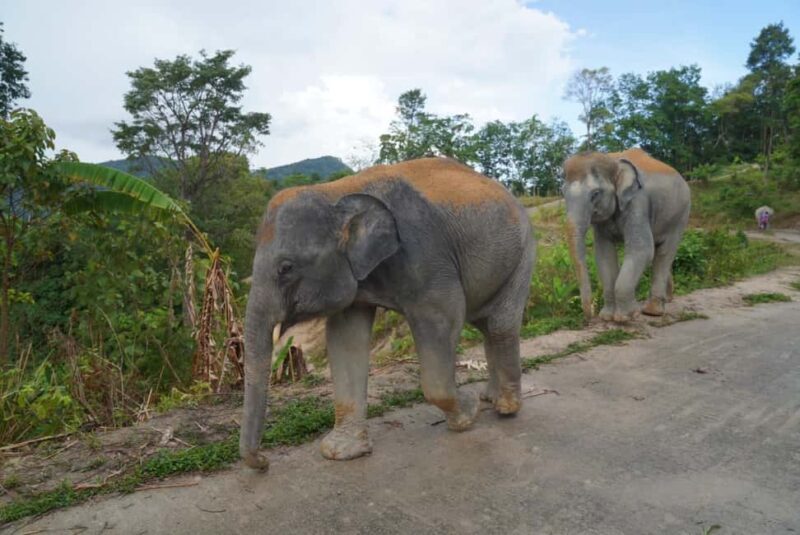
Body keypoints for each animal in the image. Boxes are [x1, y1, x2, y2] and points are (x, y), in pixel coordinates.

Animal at [240, 157, 536, 469]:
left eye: (286, 268)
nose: (264, 462)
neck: (336, 191)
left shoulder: (425, 254)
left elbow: (443, 317)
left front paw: (468, 413)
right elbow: (345, 339)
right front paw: (342, 452)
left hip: (524, 254)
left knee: (500, 326)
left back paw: (506, 408)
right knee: (486, 326)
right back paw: (490, 398)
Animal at [562, 148, 691, 322]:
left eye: (595, 193)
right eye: (562, 193)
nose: (591, 315)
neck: (612, 161)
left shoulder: (637, 203)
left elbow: (642, 250)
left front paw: (626, 317)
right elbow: (604, 255)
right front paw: (607, 316)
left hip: (680, 215)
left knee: (665, 251)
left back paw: (652, 311)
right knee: (660, 253)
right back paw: (668, 300)